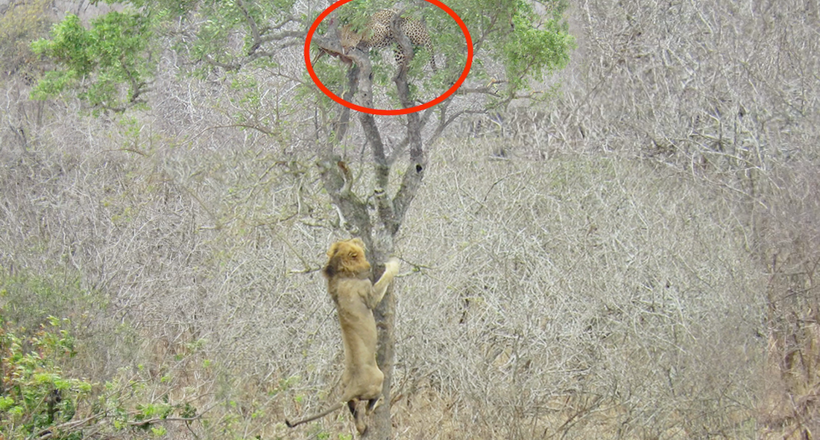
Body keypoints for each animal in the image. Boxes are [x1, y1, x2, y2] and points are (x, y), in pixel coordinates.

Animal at [286, 237, 400, 434]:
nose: (359, 239)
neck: (340, 273)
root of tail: (351, 386)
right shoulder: (370, 294)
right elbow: (385, 278)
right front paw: (393, 264)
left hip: (346, 392)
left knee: (356, 412)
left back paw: (362, 428)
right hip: (379, 377)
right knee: (369, 408)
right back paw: (380, 403)